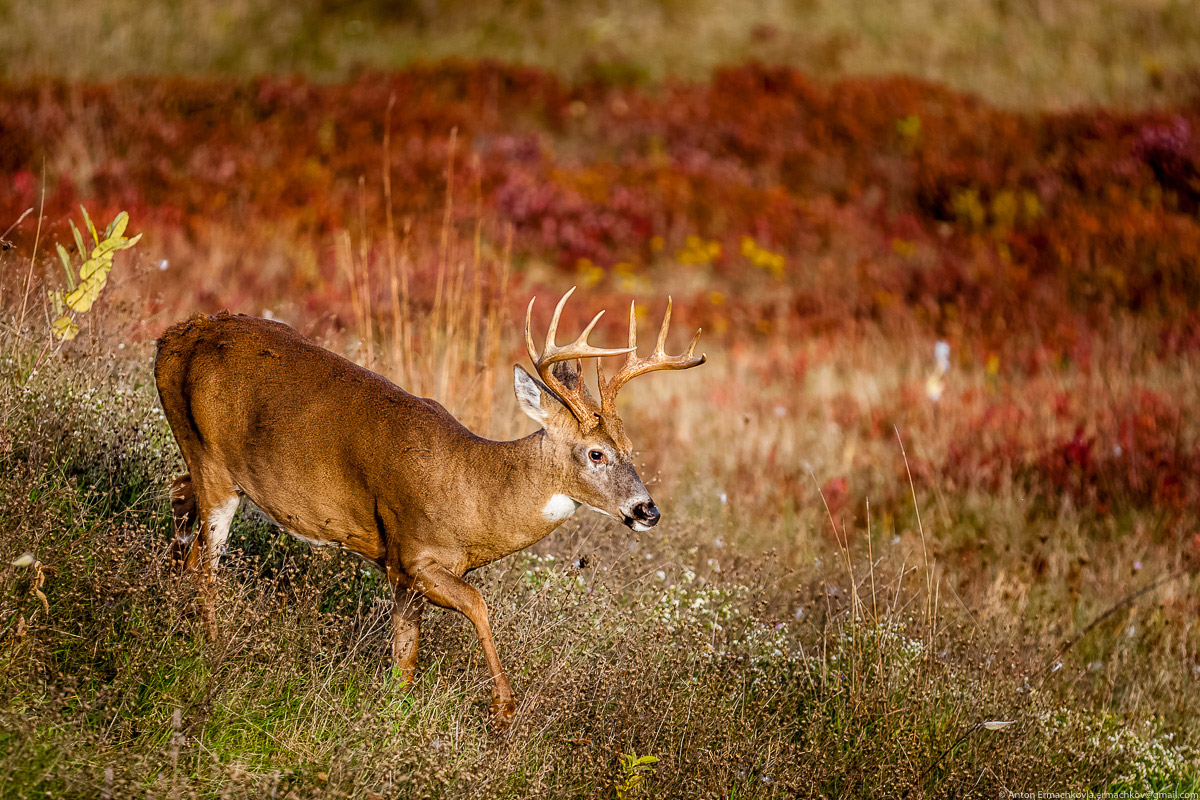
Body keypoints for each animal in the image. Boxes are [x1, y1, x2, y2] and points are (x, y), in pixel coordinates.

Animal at [157, 289, 700, 724]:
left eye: (630, 446)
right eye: (595, 453)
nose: (647, 511)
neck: (475, 493)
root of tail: (174, 336)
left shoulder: (401, 572)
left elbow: (405, 658)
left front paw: (399, 711)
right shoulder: (413, 551)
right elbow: (478, 603)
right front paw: (503, 708)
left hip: (201, 460)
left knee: (178, 505)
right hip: (214, 461)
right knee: (205, 561)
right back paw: (211, 648)